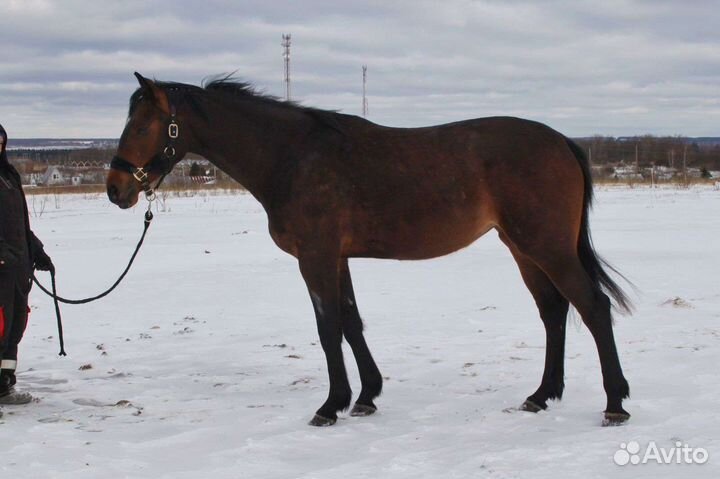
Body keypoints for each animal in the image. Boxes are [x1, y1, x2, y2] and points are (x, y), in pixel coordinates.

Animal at [107, 72, 632, 427]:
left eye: (142, 127)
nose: (116, 190)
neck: (291, 157)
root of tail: (562, 142)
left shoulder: (316, 257)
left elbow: (328, 328)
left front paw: (330, 405)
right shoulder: (337, 258)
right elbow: (351, 322)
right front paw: (365, 397)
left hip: (545, 246)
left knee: (592, 307)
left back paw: (614, 404)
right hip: (524, 248)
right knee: (554, 312)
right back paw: (541, 396)